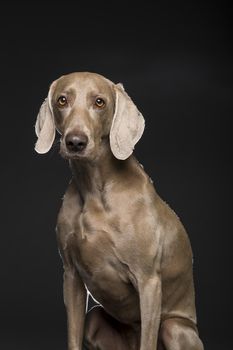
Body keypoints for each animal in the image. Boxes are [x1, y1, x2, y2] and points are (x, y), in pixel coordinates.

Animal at [34, 72, 204, 350]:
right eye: (62, 100)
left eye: (99, 102)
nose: (75, 142)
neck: (94, 188)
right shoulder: (71, 274)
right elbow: (73, 336)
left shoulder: (149, 281)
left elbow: (148, 340)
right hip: (94, 319)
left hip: (175, 328)